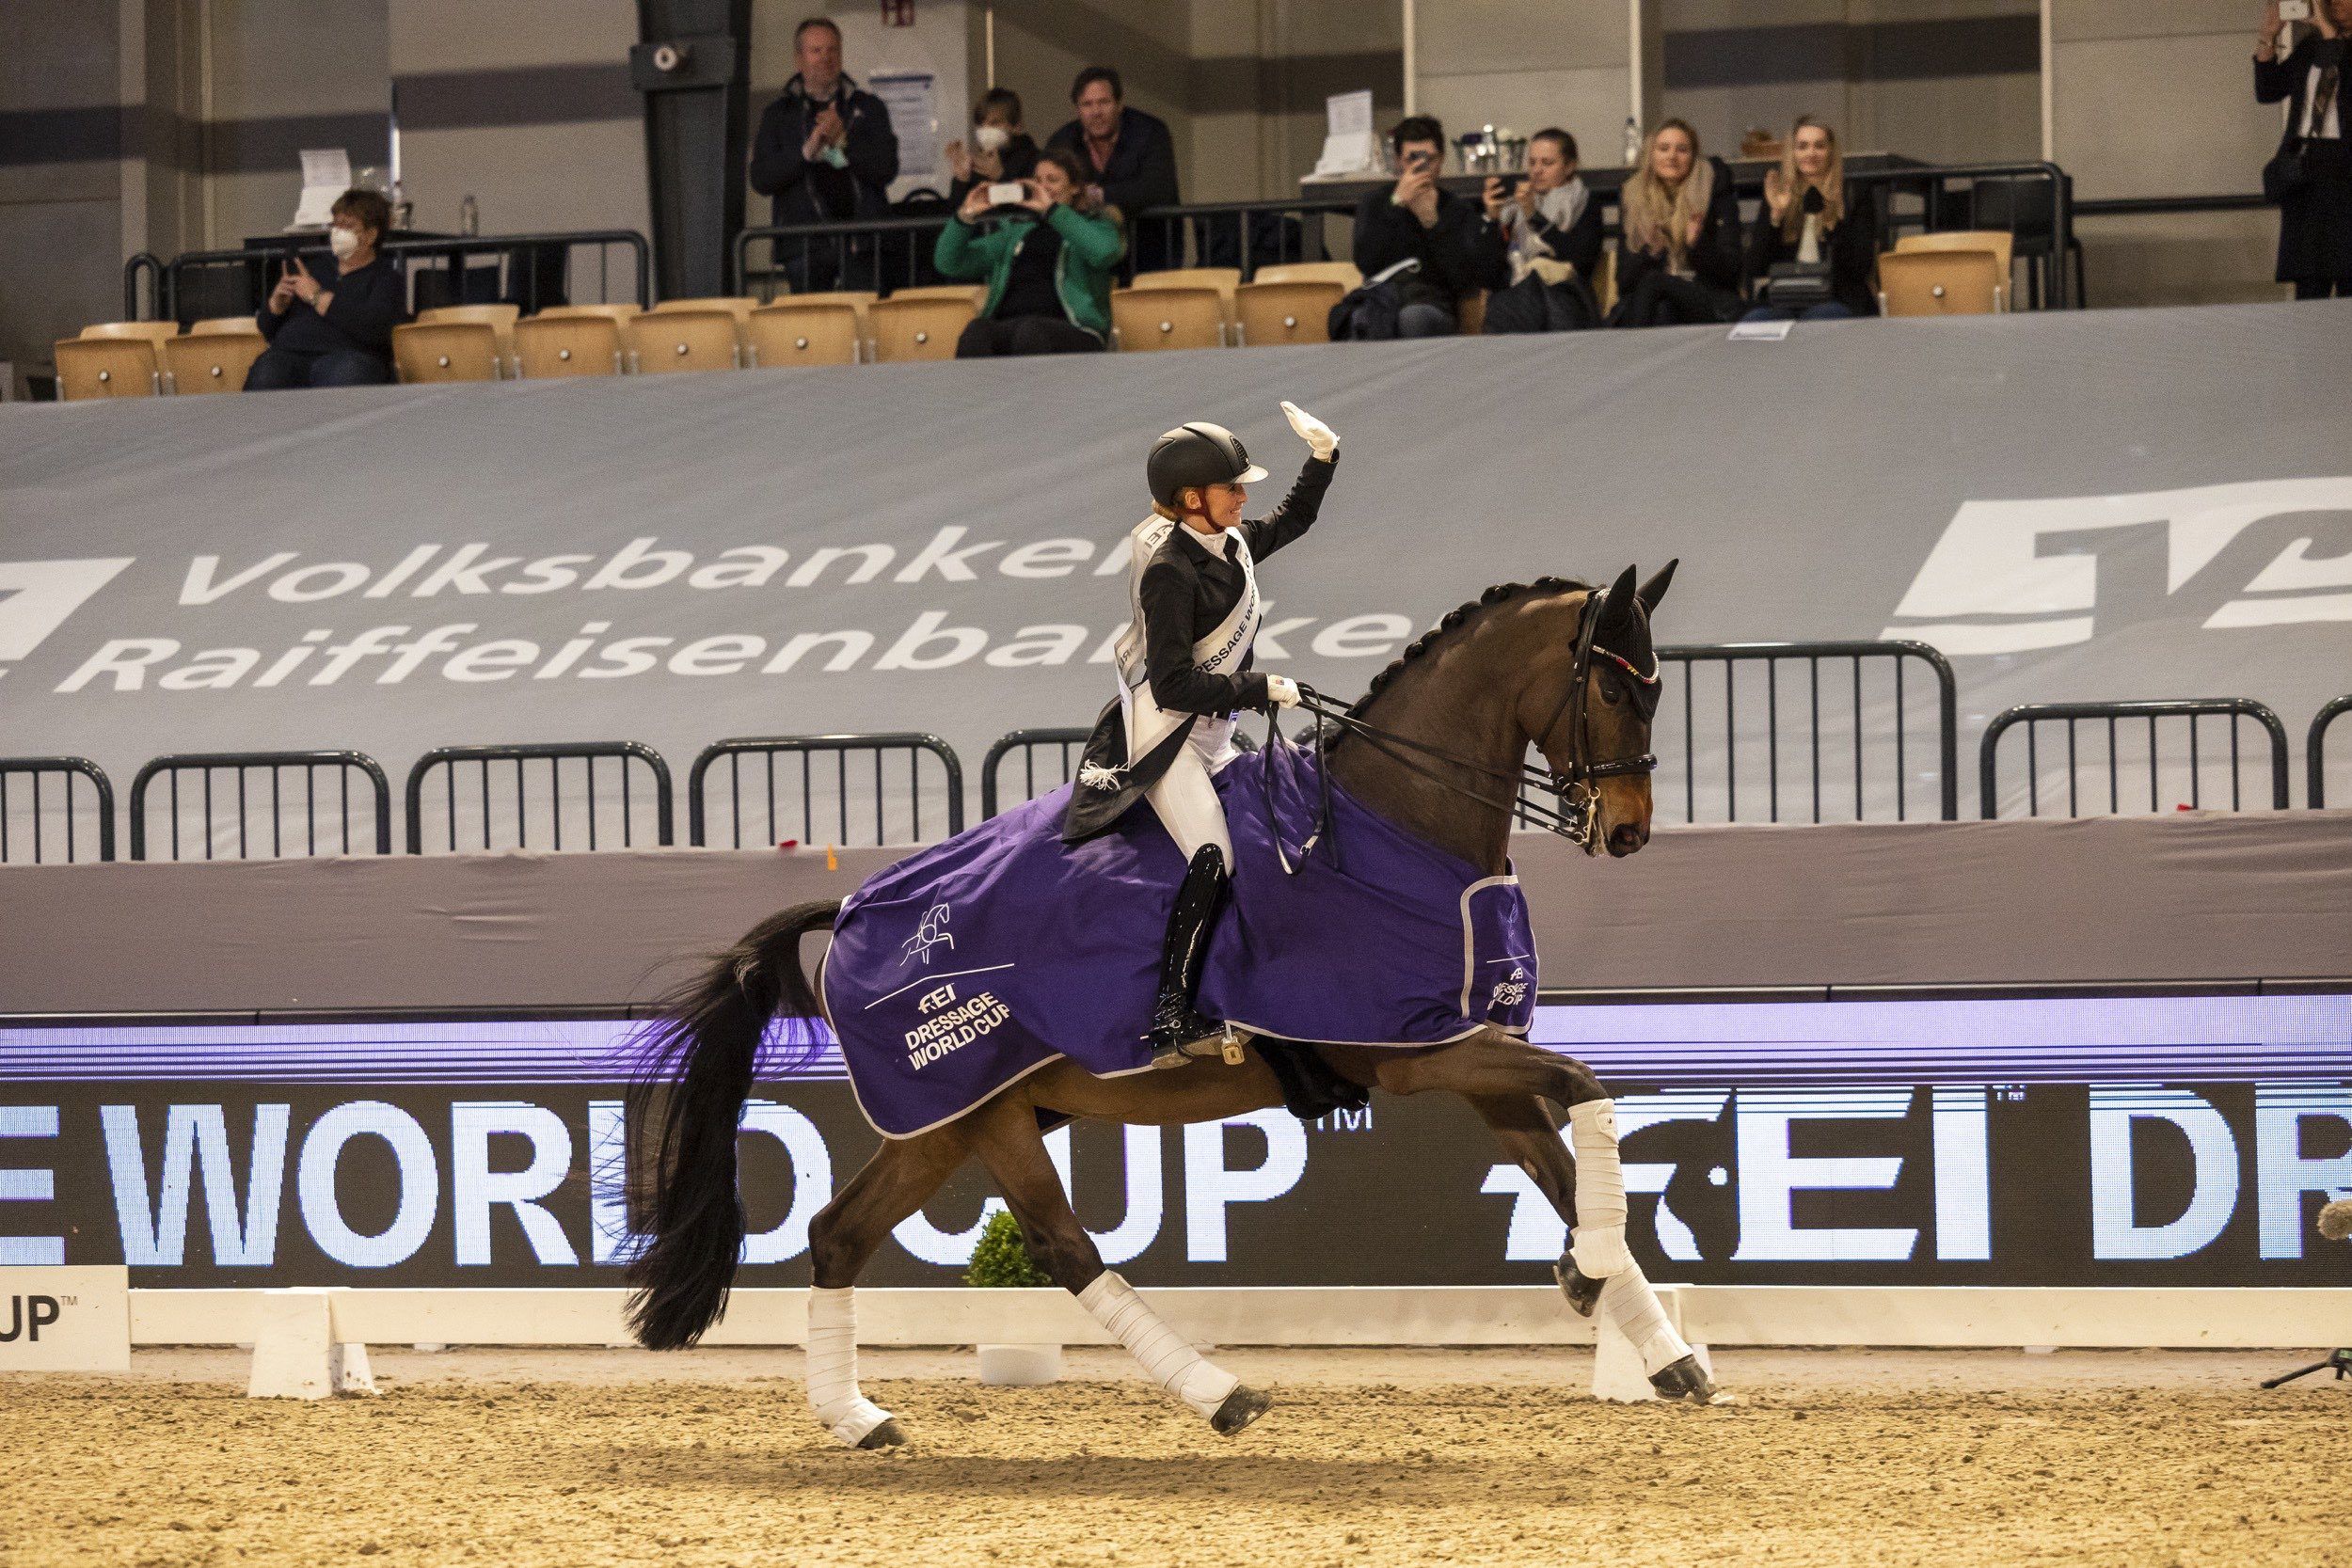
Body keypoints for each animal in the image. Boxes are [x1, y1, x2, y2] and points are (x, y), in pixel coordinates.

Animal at [621, 561, 1716, 1448]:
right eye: (1612, 685)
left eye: (1658, 687)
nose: (1626, 830)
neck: (1399, 824)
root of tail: (853, 905)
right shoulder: (1418, 1049)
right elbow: (1588, 1085)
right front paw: (1592, 1268)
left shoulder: (1471, 1051)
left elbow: (1564, 1161)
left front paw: (1655, 1339)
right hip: (974, 1108)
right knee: (1059, 1245)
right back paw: (1217, 1391)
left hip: (952, 1118)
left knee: (840, 1234)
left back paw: (859, 1418)